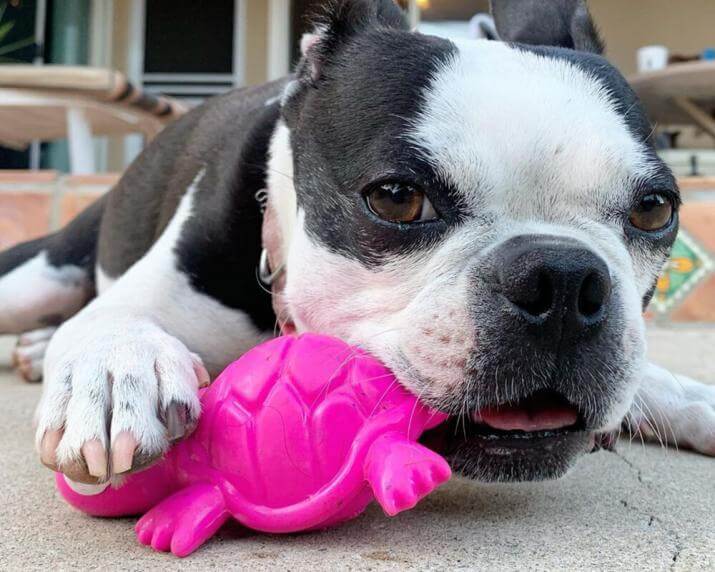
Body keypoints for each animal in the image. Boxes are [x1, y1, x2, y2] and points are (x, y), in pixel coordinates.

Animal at [0, 0, 712, 484]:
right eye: (397, 198)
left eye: (654, 210)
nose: (565, 279)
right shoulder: (147, 296)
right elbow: (112, 321)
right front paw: (116, 371)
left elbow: (647, 375)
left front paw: (691, 398)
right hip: (37, 275)